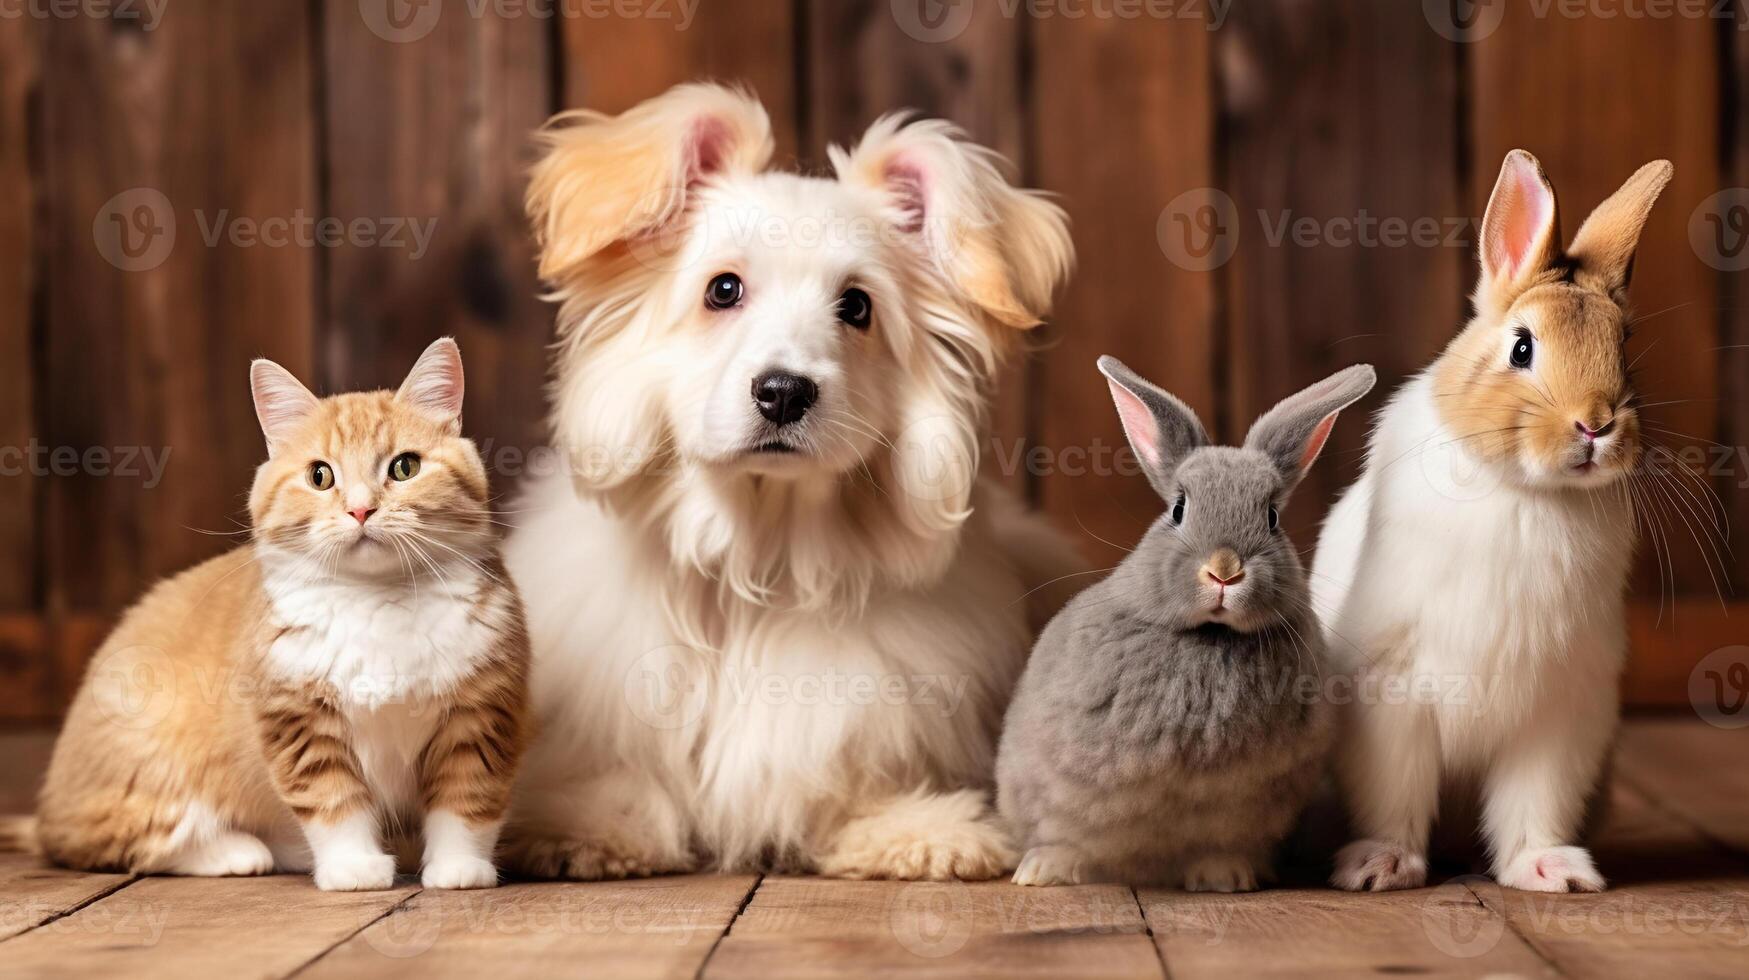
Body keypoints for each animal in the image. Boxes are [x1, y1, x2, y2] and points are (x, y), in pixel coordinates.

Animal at [34, 341, 524, 892]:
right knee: (121, 841)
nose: (361, 510)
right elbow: (335, 803)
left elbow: (467, 800)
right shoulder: (297, 721)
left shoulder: (480, 716)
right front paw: (353, 868)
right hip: (142, 773)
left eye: (405, 467)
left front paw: (459, 867)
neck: (376, 599)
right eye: (320, 476)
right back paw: (237, 851)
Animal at [500, 84, 1084, 882]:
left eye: (857, 306)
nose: (783, 392)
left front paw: (916, 829)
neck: (758, 551)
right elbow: (619, 776)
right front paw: (586, 828)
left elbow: (847, 785)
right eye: (723, 289)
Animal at [1000, 355, 1378, 892]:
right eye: (1177, 509)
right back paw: (1043, 872)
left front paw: (1229, 877)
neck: (1211, 636)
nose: (1225, 569)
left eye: (1272, 517)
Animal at [1315, 153, 1672, 896]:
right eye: (1521, 347)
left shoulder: (1559, 712)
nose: (1596, 423)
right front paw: (1380, 867)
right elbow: (1394, 793)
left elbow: (1534, 801)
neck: (1529, 494)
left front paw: (1551, 872)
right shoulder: (1391, 695)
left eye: (1622, 345)